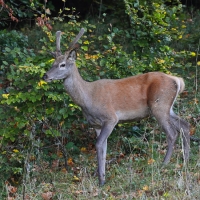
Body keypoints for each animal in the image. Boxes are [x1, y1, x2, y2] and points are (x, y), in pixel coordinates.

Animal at [42, 27, 191, 186]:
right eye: (53, 62)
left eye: (62, 64)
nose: (45, 76)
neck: (88, 98)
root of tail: (177, 80)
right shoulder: (96, 124)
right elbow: (103, 147)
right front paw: (100, 175)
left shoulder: (111, 118)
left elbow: (98, 144)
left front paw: (101, 180)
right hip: (168, 107)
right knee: (185, 125)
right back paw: (186, 160)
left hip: (159, 105)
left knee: (172, 133)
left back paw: (164, 164)